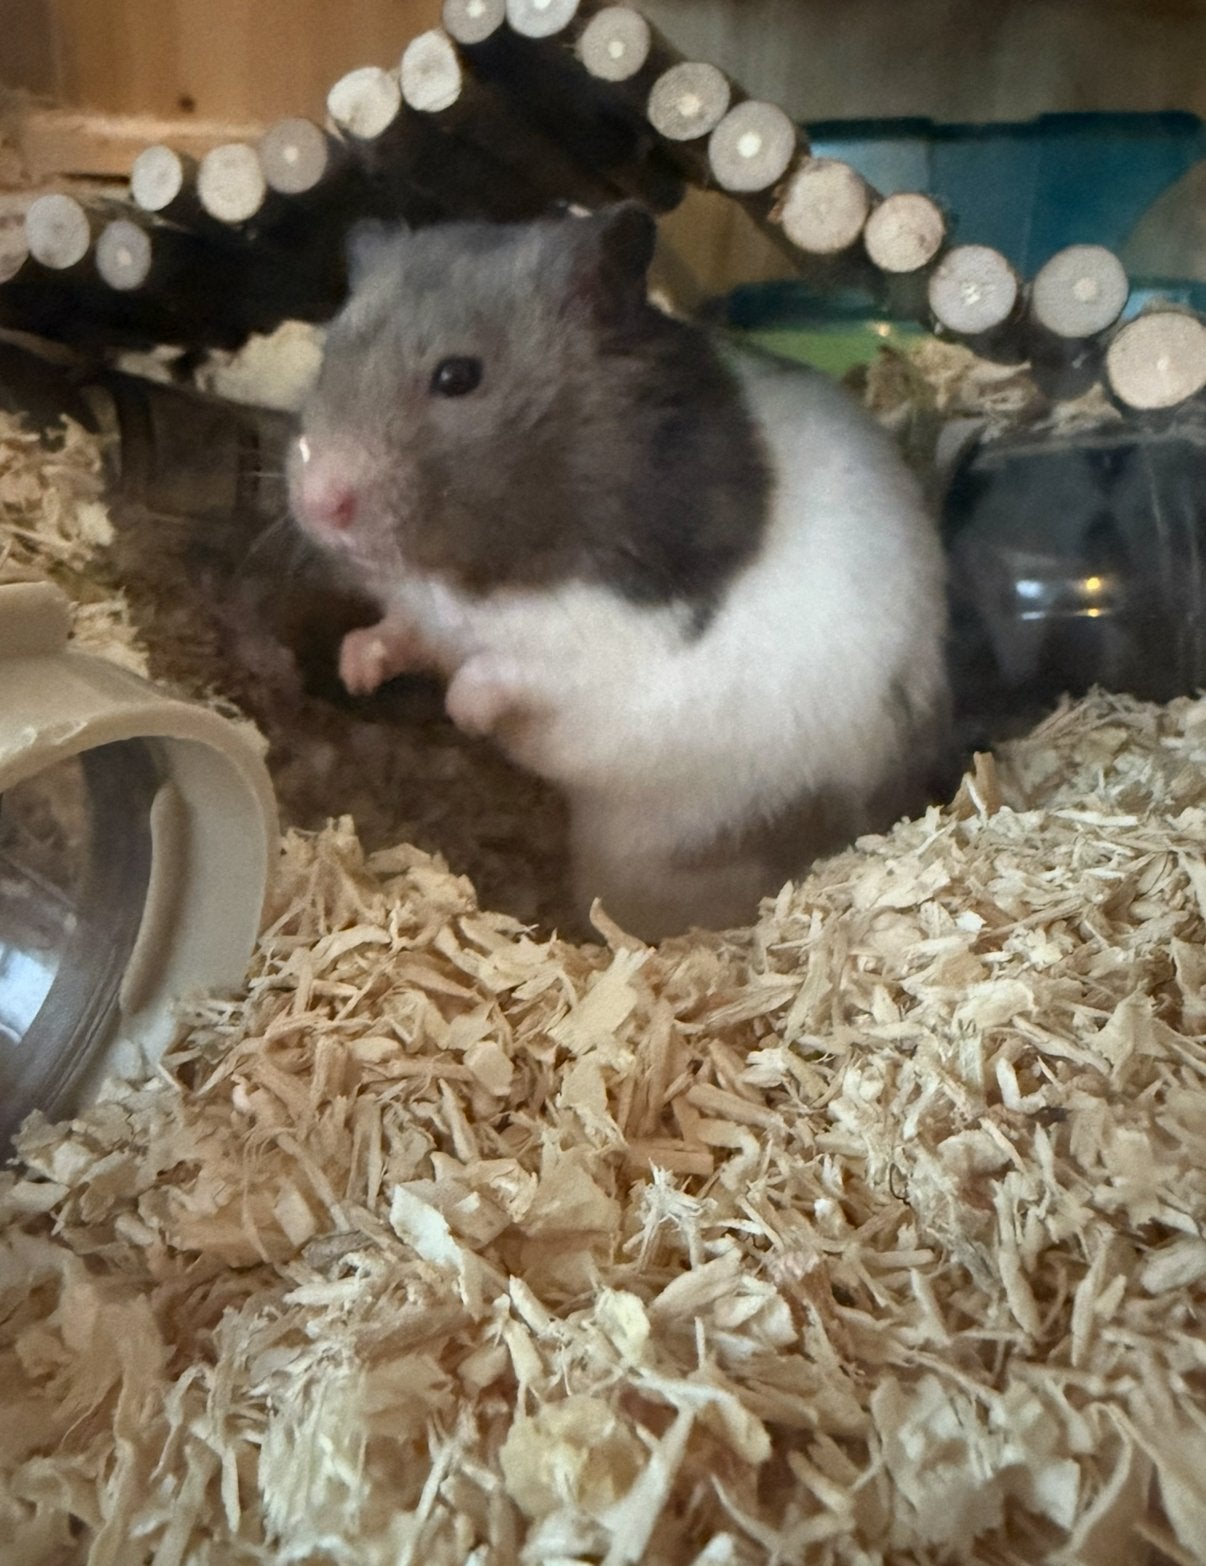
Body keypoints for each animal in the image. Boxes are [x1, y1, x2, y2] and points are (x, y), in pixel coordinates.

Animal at [289, 202, 951, 940]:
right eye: (327, 355)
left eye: (458, 376)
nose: (316, 504)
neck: (477, 579)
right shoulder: (427, 613)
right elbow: (400, 631)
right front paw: (356, 666)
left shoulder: (613, 639)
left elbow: (510, 670)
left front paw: (463, 711)